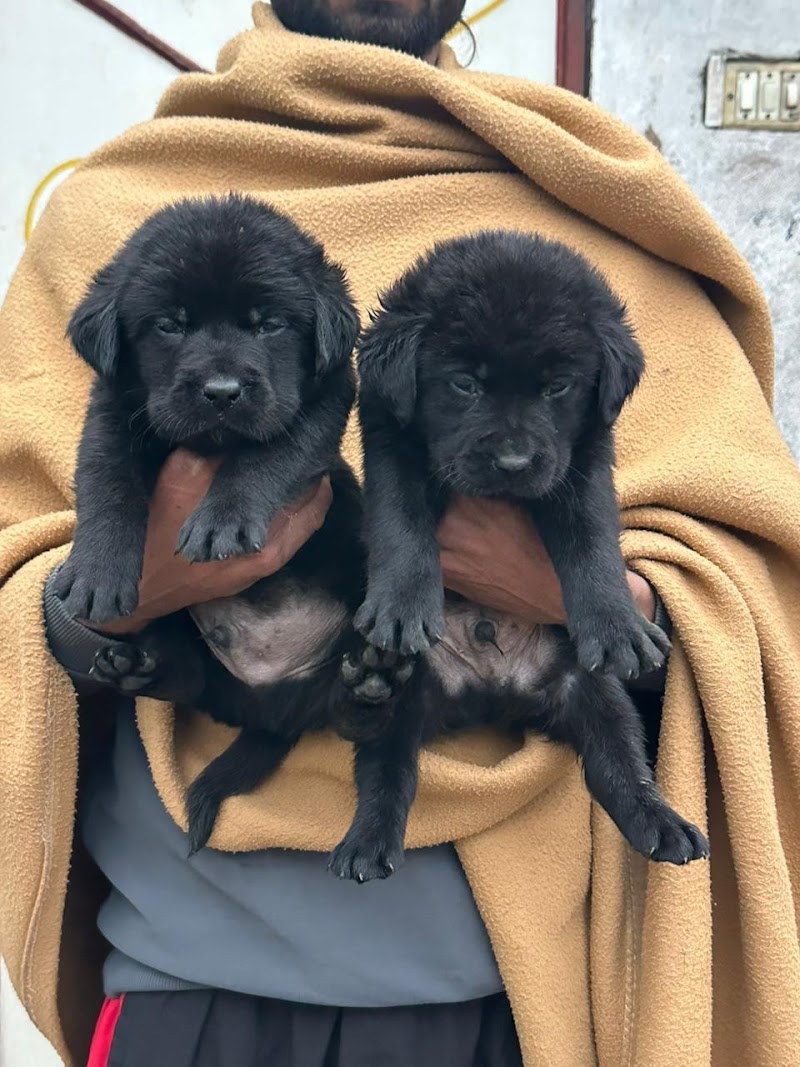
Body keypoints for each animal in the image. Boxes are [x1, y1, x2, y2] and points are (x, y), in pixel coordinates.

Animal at [325, 230, 709, 882]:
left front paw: (620, 626)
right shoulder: (393, 440)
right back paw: (365, 833)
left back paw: (663, 825)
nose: (512, 463)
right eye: (465, 384)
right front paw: (401, 609)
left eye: (557, 387)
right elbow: (401, 526)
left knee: (620, 764)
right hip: (411, 694)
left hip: (592, 691)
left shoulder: (581, 463)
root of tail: (493, 692)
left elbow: (593, 546)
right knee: (384, 767)